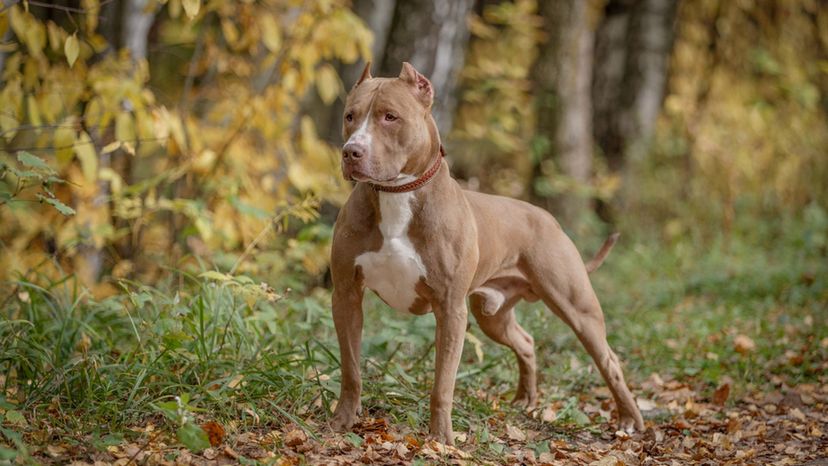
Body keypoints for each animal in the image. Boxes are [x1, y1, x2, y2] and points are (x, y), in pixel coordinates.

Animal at [329, 62, 644, 444]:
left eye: (390, 117)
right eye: (350, 116)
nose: (351, 151)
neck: (396, 194)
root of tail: (548, 218)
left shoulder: (450, 309)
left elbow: (443, 385)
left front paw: (442, 439)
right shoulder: (346, 295)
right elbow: (351, 368)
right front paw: (343, 420)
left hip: (577, 306)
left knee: (609, 360)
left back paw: (630, 420)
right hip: (492, 314)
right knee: (526, 341)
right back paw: (525, 400)